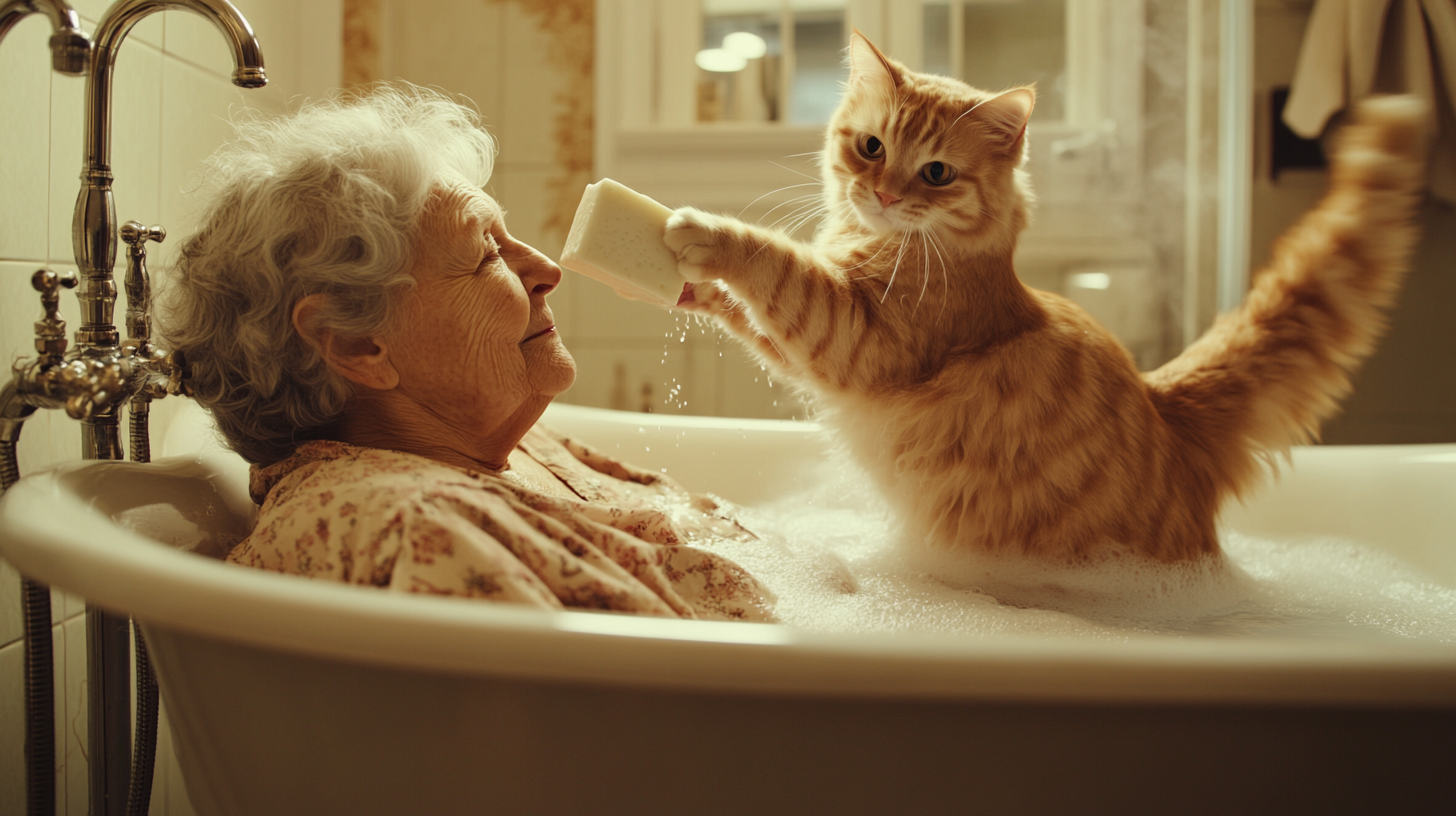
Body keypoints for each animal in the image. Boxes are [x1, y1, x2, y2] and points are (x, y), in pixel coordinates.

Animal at [666, 34, 1426, 565]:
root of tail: (1167, 407)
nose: (881, 194)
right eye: (871, 147)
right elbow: (752, 315)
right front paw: (690, 288)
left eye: (936, 174)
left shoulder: (858, 334)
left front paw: (702, 233)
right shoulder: (809, 343)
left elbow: (774, 263)